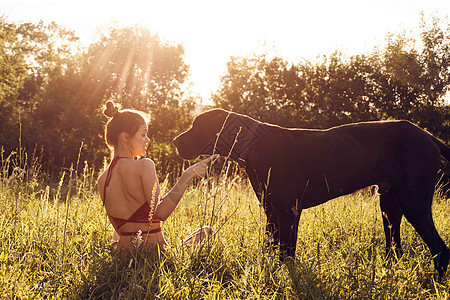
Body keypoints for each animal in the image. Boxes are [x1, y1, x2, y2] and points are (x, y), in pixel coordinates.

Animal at [173, 109, 450, 278]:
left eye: (197, 126)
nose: (175, 141)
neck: (253, 144)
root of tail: (428, 136)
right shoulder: (272, 212)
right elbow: (271, 249)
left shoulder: (288, 211)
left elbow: (286, 253)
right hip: (390, 205)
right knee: (396, 249)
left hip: (413, 202)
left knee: (441, 250)